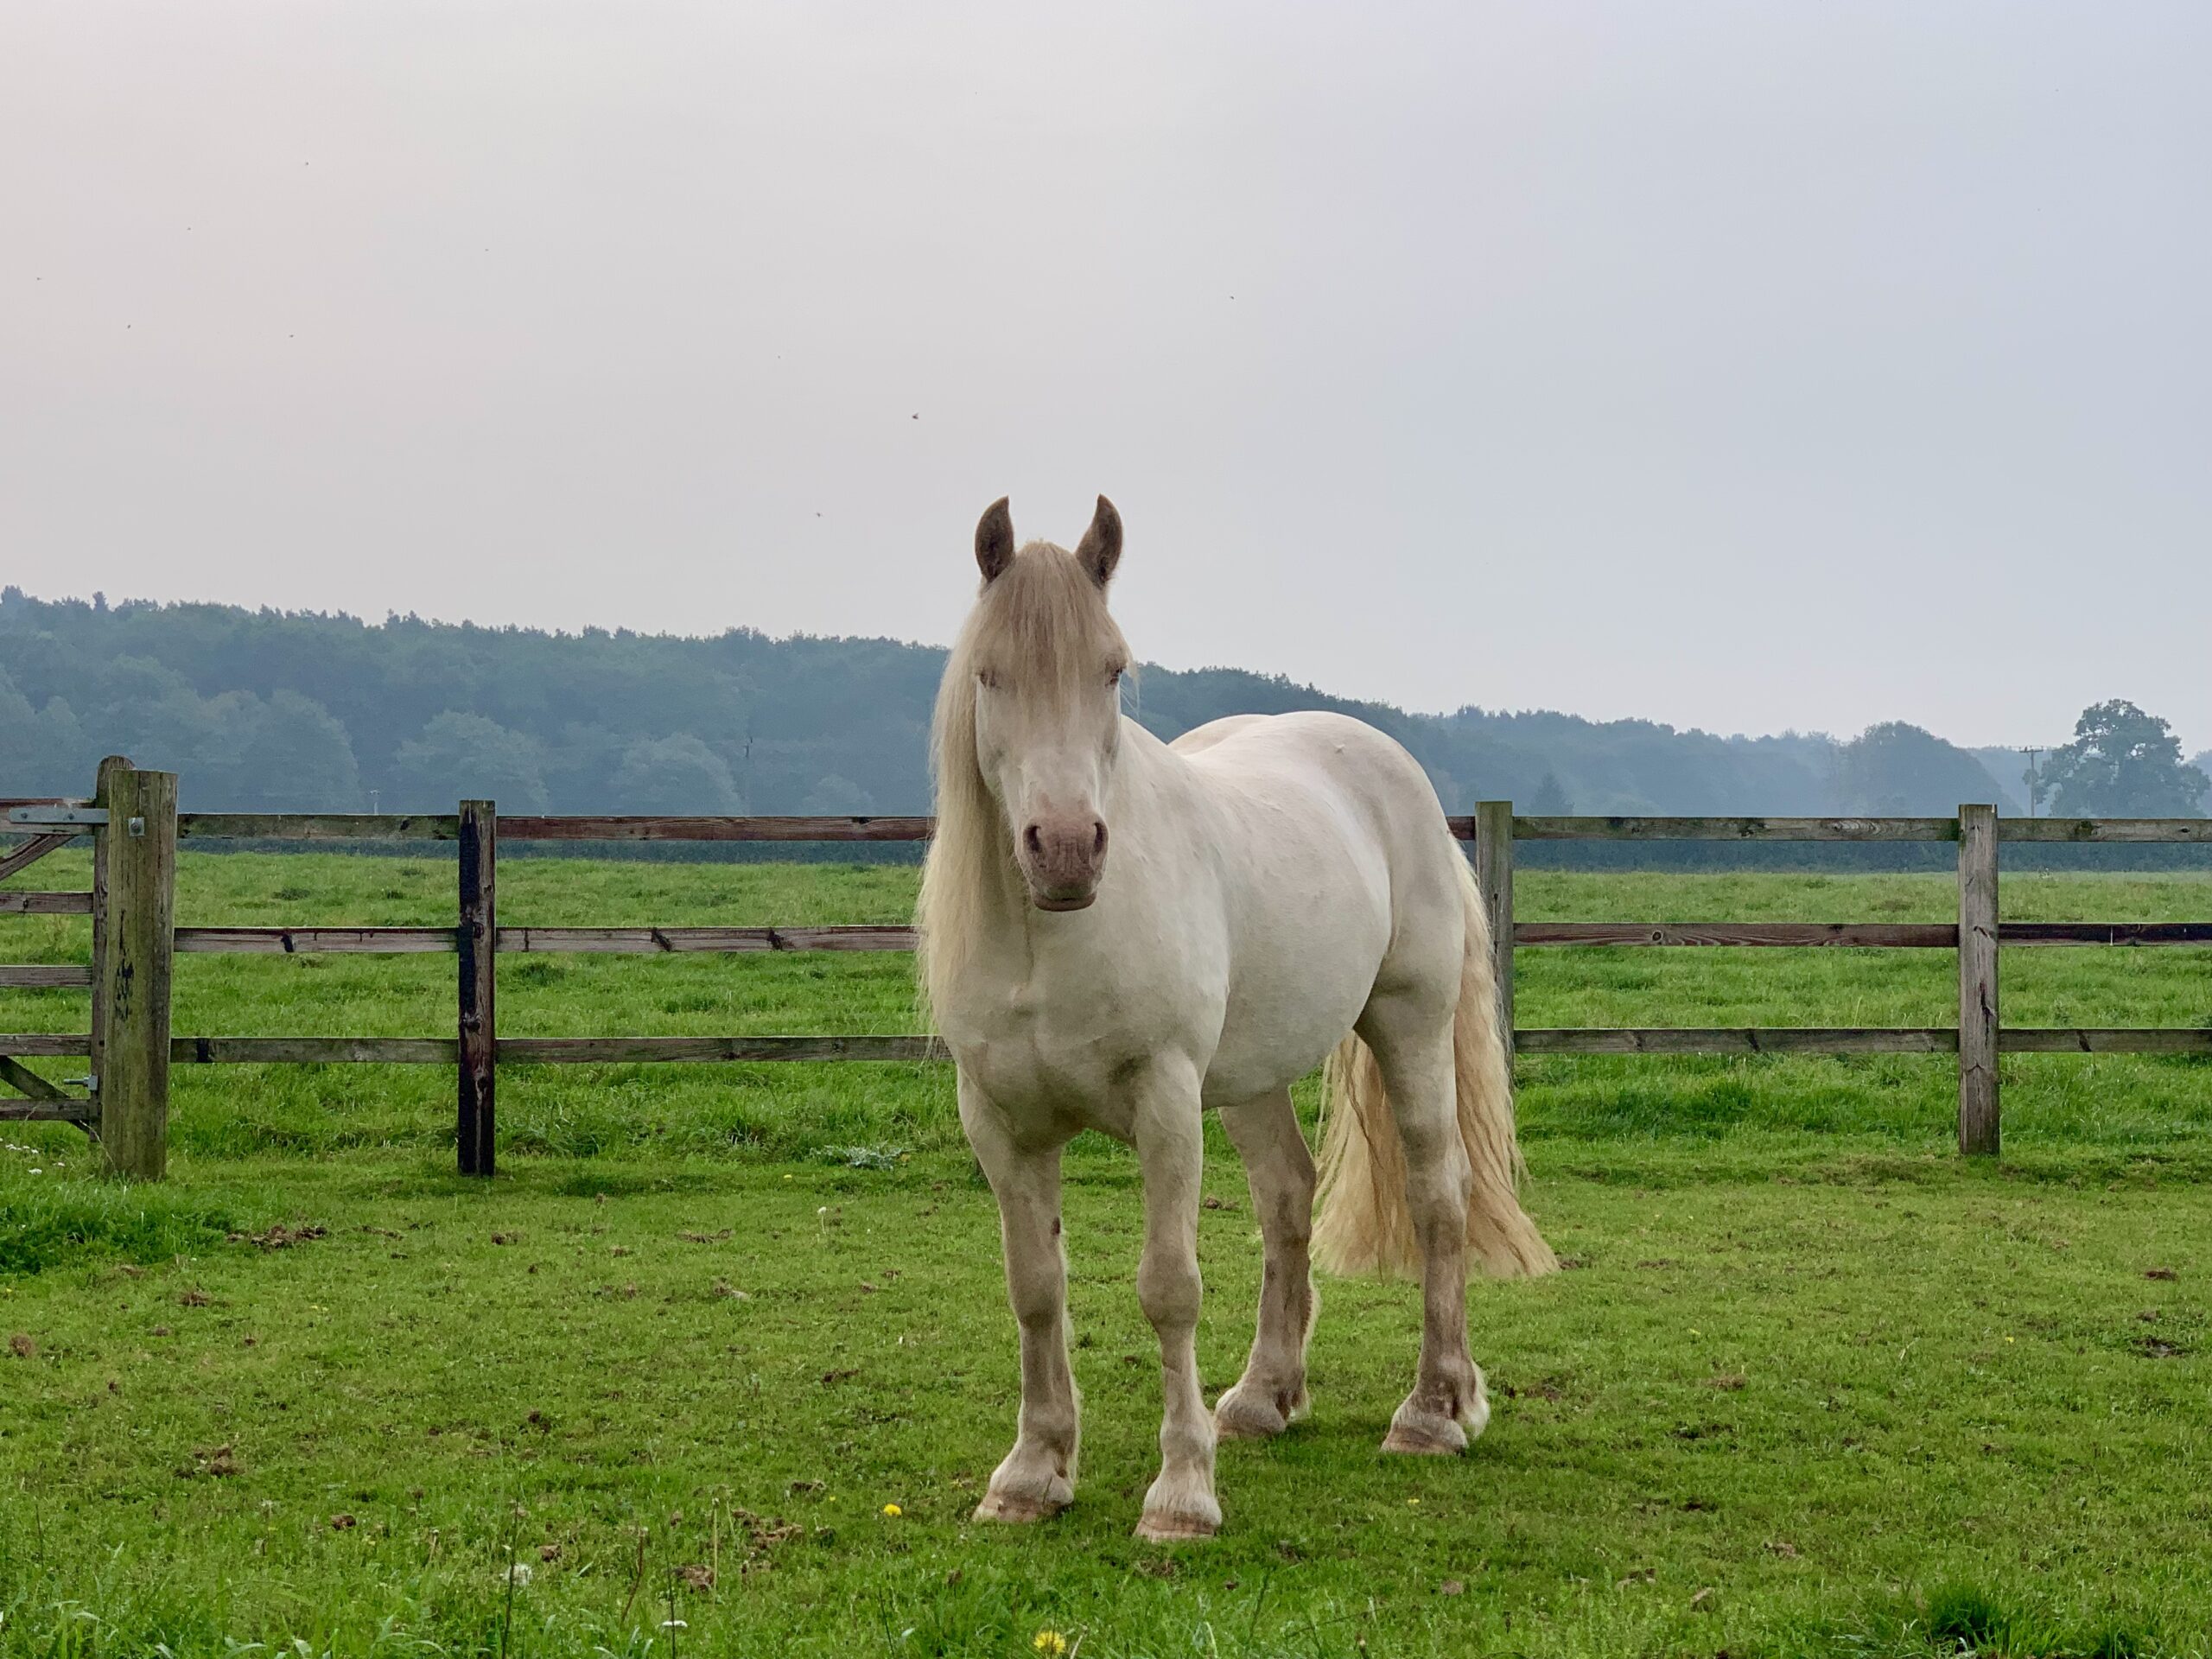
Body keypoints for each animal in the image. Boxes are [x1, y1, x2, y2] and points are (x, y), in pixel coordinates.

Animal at [915, 493, 1557, 1548]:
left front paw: (1181, 1495)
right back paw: (1264, 1397)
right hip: (1253, 1075)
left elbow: (1168, 1289)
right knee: (1287, 1197)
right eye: (987, 673)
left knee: (1439, 1194)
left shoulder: (1166, 1102)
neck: (1053, 941)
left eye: (1111, 669)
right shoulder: (1001, 1123)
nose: (1066, 849)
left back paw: (1433, 1412)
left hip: (1409, 1025)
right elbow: (1035, 1289)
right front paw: (1031, 1473)